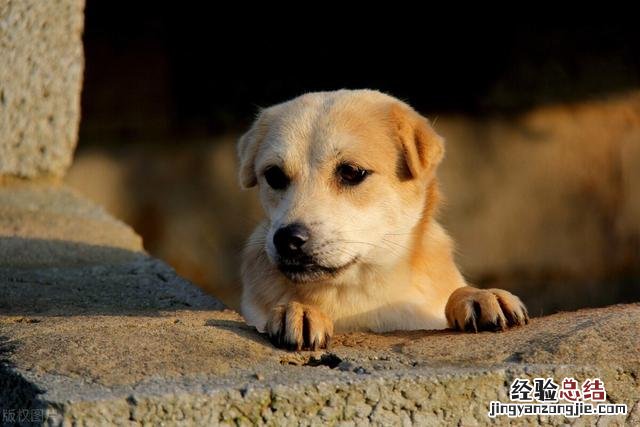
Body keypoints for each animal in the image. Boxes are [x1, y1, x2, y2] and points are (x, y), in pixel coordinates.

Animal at [238, 90, 528, 352]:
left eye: (351, 172)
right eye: (274, 175)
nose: (287, 239)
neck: (359, 293)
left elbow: (457, 292)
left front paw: (480, 295)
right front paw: (298, 309)